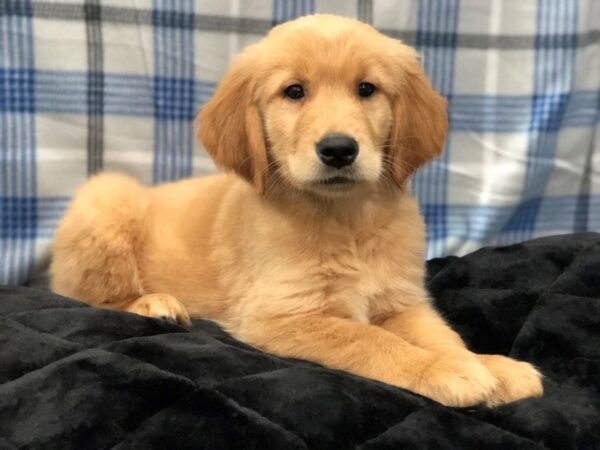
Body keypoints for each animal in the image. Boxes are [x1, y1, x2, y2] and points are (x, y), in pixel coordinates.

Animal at [49, 14, 540, 408]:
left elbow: (442, 335)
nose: (338, 149)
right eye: (294, 92)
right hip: (106, 199)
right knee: (79, 294)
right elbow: (368, 337)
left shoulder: (401, 300)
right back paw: (154, 303)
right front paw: (446, 371)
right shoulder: (281, 314)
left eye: (366, 89)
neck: (345, 220)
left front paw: (489, 366)